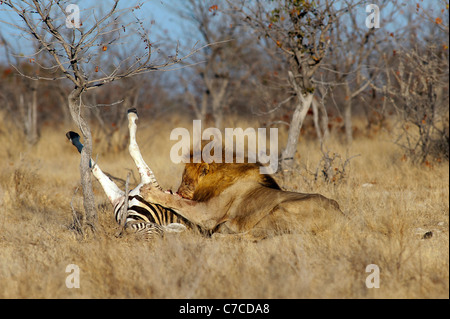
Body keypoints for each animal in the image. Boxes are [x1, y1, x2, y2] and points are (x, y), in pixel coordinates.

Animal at [141, 156, 344, 241]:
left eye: (186, 181)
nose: (178, 190)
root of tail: (341, 216)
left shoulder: (208, 214)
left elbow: (180, 203)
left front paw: (149, 191)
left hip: (279, 210)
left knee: (253, 236)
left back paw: (220, 236)